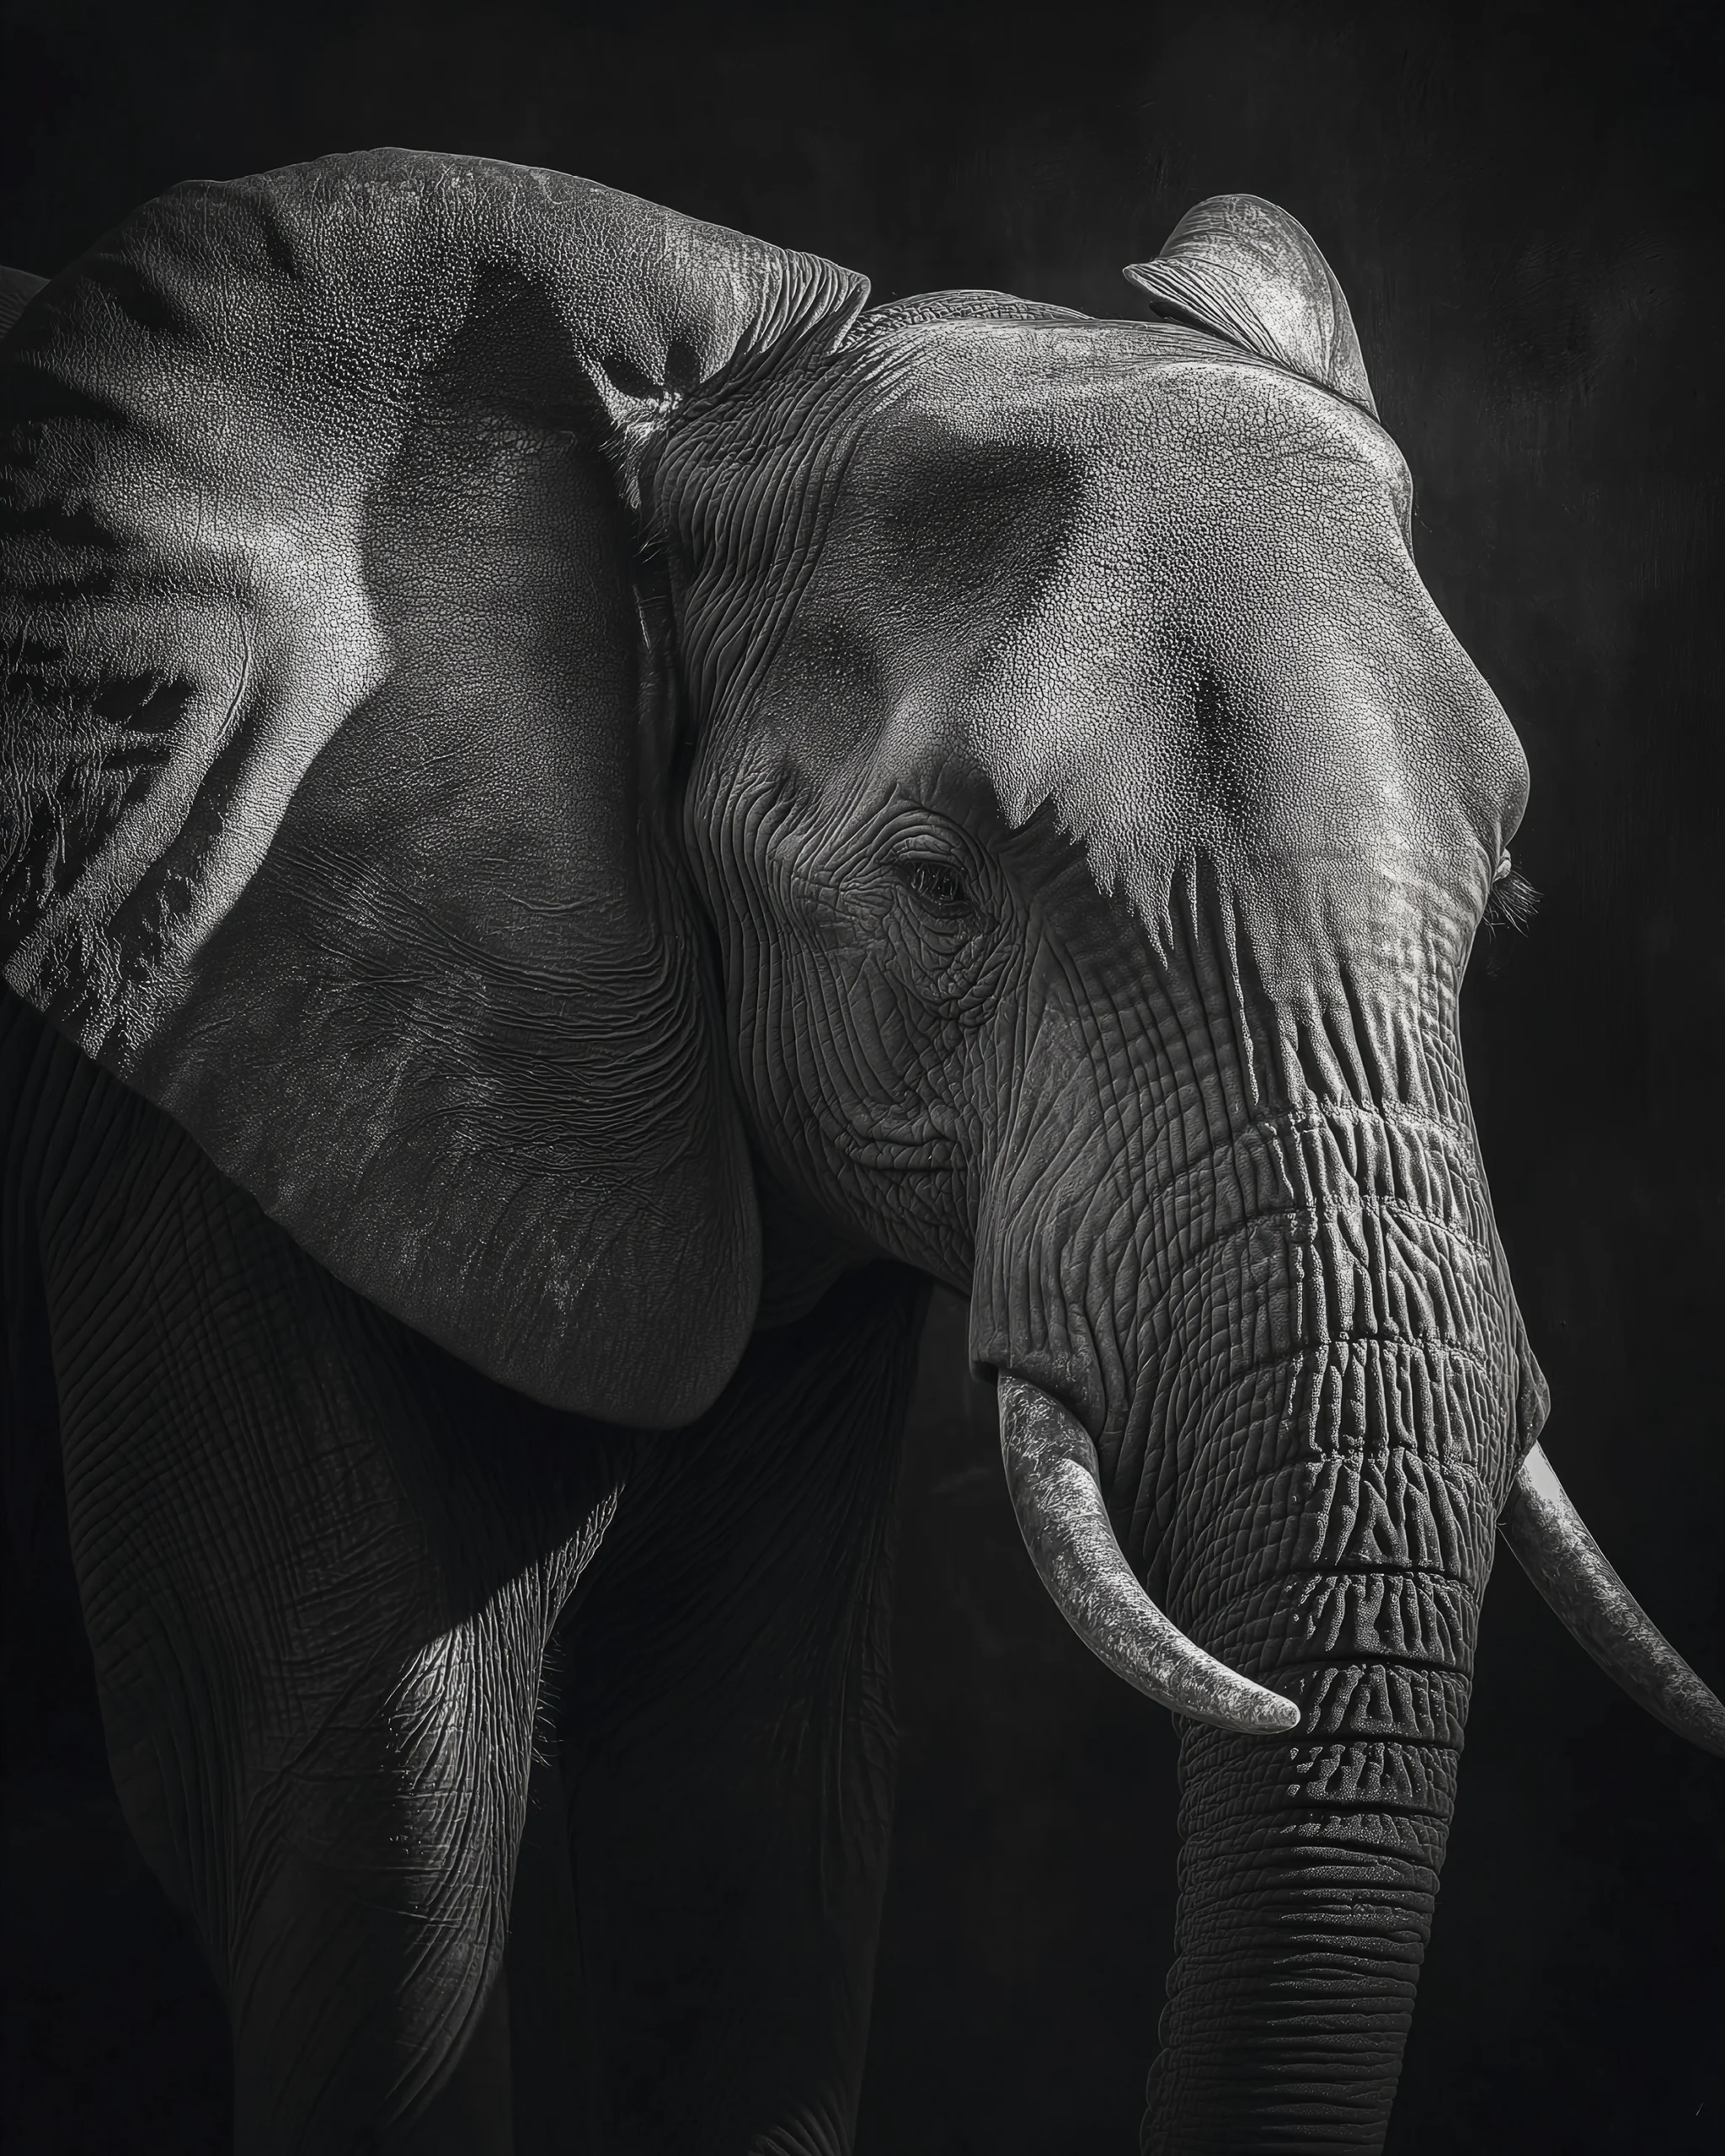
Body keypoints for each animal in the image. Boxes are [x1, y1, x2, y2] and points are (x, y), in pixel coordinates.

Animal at [1, 149, 1720, 2155]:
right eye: (933, 887)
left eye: (1505, 907)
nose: (1279, 1713)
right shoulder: (211, 1064)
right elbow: (372, 1836)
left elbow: (751, 1813)